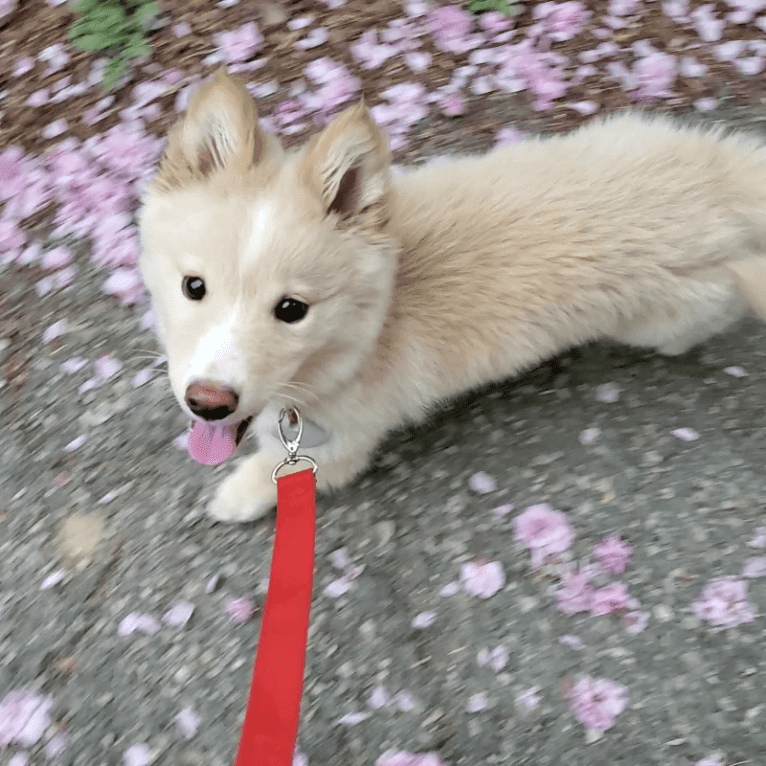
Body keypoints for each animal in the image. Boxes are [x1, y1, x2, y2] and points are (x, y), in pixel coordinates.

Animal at [140, 69, 766, 524]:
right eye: (194, 287)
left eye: (292, 310)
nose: (208, 403)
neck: (370, 330)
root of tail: (720, 183)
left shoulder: (339, 449)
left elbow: (277, 471)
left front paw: (235, 497)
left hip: (670, 314)